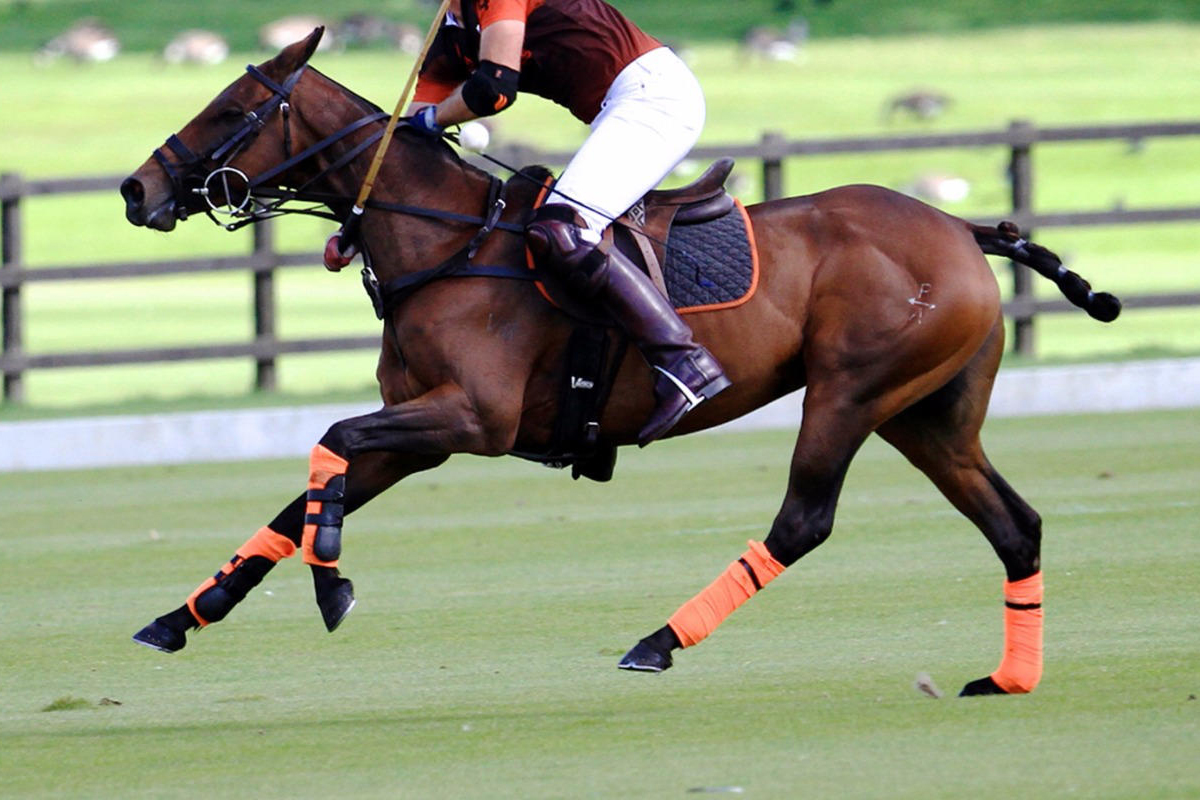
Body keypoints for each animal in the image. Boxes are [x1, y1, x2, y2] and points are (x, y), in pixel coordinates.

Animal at [119, 28, 1120, 696]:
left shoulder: (473, 418)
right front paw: (183, 616)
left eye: (232, 110)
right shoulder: (420, 435)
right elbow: (307, 489)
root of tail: (960, 227)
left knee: (803, 520)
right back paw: (1009, 678)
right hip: (927, 411)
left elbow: (328, 443)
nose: (137, 189)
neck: (446, 243)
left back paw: (659, 640)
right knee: (1016, 526)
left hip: (851, 392)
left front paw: (332, 583)